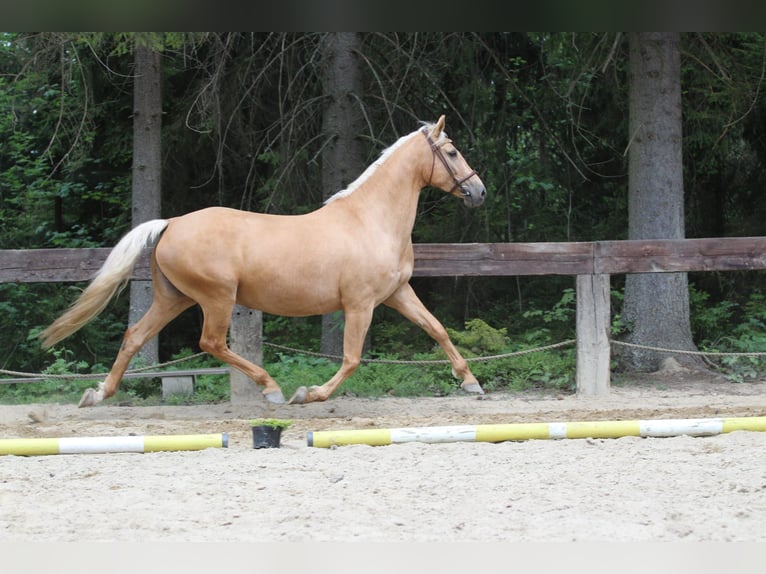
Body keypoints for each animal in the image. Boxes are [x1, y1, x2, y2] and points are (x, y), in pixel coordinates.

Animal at [40, 115, 486, 408]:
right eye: (452, 152)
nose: (479, 192)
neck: (370, 220)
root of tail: (171, 223)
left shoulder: (397, 293)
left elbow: (437, 329)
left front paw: (470, 382)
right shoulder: (360, 305)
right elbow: (352, 358)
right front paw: (309, 394)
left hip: (173, 298)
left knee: (134, 336)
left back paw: (97, 394)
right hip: (216, 298)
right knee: (211, 342)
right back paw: (271, 388)